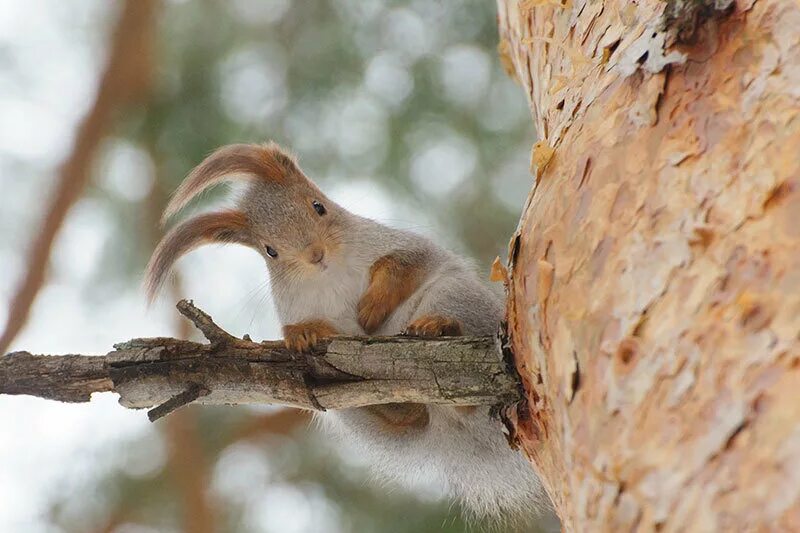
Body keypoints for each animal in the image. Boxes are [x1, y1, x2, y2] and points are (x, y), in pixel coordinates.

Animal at [144, 141, 548, 520]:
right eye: (270, 250)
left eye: (318, 206)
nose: (315, 255)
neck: (330, 271)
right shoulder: (298, 308)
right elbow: (308, 327)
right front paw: (304, 335)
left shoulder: (400, 244)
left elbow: (403, 265)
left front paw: (370, 309)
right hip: (337, 406)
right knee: (404, 415)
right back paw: (399, 405)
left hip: (453, 294)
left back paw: (439, 326)